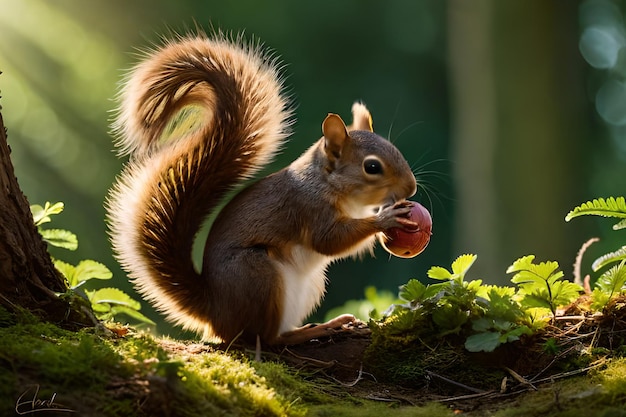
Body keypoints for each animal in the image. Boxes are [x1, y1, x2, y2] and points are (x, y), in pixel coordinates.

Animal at [106, 33, 416, 344]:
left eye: (395, 149)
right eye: (372, 167)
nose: (411, 188)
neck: (329, 185)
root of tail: (215, 313)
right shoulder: (308, 208)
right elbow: (329, 241)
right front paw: (384, 219)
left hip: (308, 285)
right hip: (258, 275)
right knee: (265, 338)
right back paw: (314, 331)